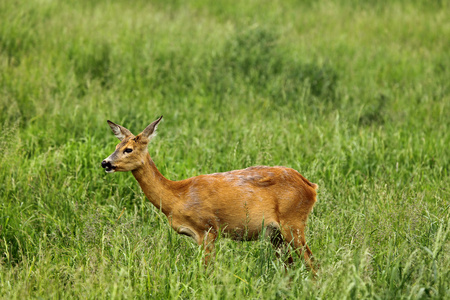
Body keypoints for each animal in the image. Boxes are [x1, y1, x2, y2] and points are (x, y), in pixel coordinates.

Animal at [101, 116, 320, 272]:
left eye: (128, 149)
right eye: (116, 146)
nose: (105, 163)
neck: (177, 196)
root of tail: (311, 186)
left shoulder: (208, 229)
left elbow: (206, 270)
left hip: (293, 222)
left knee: (312, 262)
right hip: (276, 233)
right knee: (289, 265)